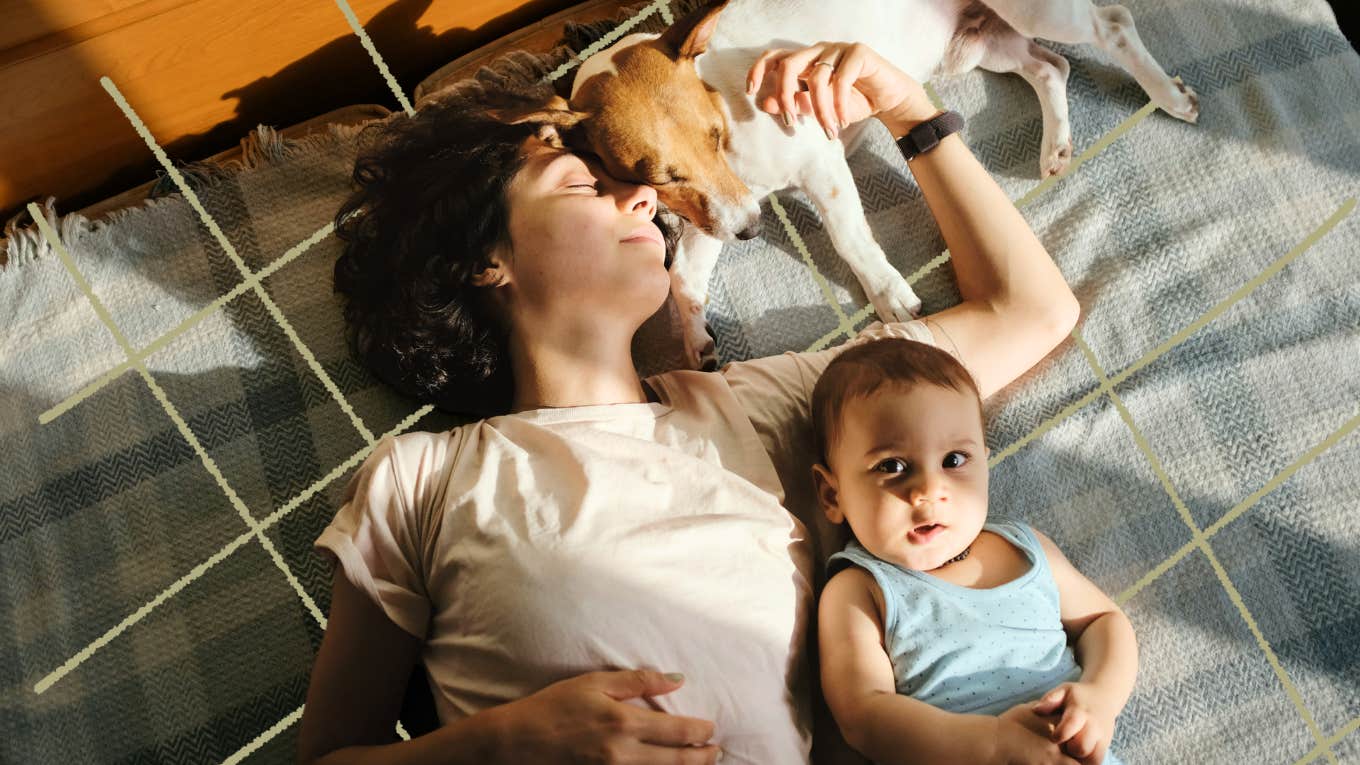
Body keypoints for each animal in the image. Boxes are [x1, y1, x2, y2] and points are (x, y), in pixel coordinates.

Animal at [511, 0, 1202, 370]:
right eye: (651, 176)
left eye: (713, 134)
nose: (754, 231)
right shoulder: (716, 209)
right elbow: (683, 278)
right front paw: (696, 340)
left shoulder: (815, 164)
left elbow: (848, 238)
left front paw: (889, 294)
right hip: (980, 44)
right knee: (1050, 66)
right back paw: (1055, 144)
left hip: (1032, 9)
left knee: (1111, 23)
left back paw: (1168, 96)